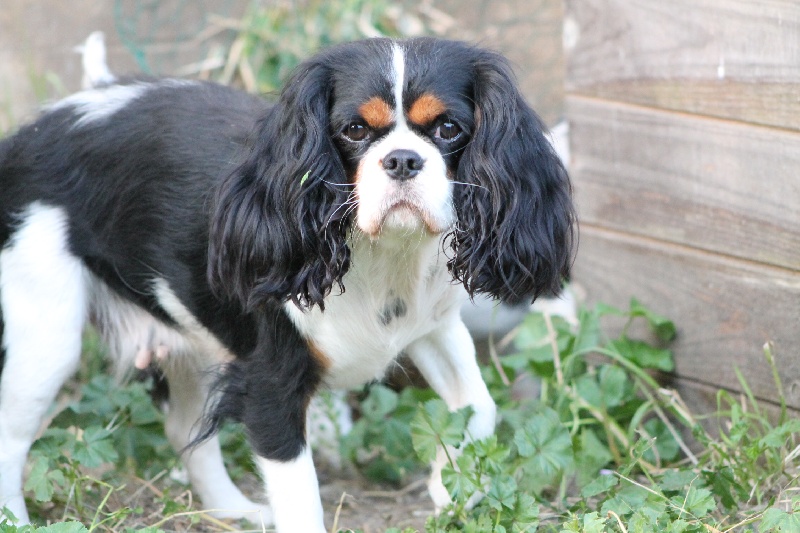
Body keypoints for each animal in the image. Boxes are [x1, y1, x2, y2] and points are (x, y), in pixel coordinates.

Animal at [1, 37, 576, 532]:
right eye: (354, 130)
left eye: (449, 128)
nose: (402, 160)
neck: (380, 251)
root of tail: (46, 122)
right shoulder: (270, 386)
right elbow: (301, 498)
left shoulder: (432, 326)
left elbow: (480, 405)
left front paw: (448, 486)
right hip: (46, 339)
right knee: (12, 436)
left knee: (185, 429)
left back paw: (234, 510)